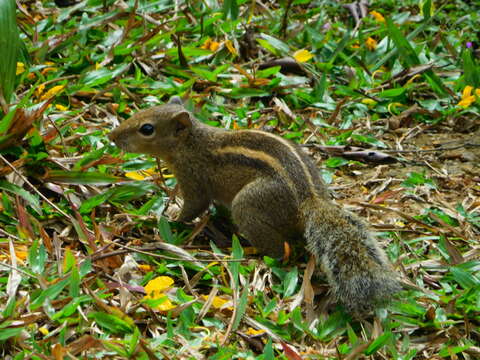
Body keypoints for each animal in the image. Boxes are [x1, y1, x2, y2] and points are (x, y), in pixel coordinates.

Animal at [109, 97, 402, 316]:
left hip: (249, 205)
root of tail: (310, 201)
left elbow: (193, 207)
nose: (112, 136)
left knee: (279, 250)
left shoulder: (194, 179)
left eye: (147, 129)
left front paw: (164, 222)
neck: (193, 142)